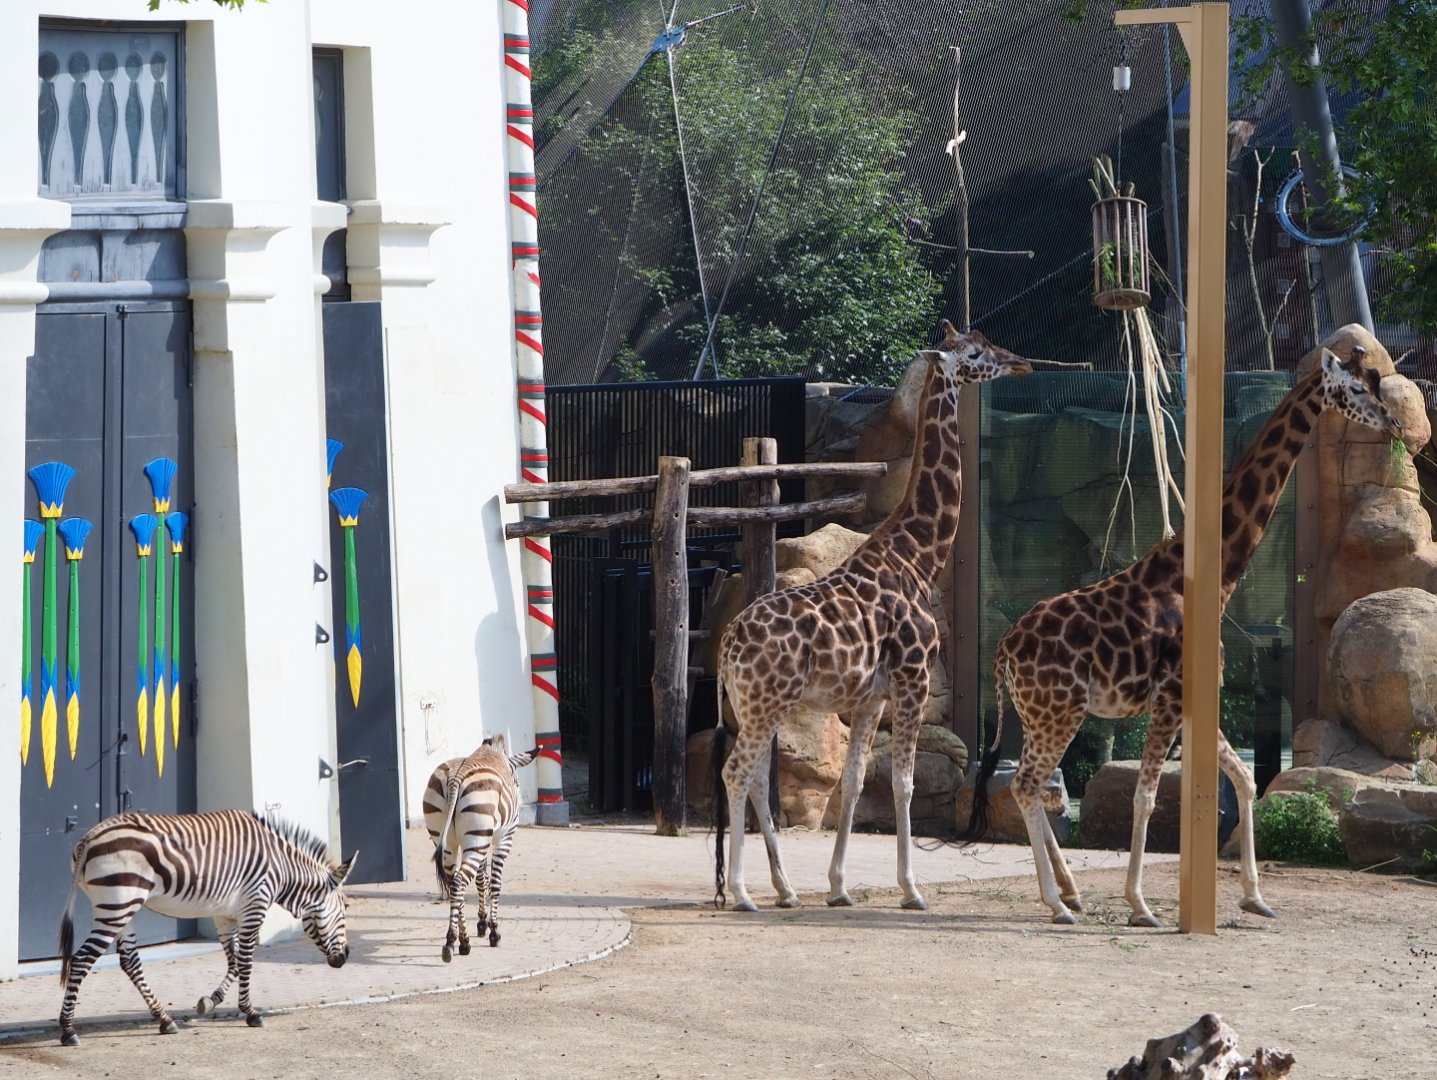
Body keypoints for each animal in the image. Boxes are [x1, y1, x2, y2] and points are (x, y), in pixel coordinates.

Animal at [57, 808, 357, 1046]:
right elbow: (246, 961)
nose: (345, 957)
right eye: (345, 907)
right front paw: (251, 1013)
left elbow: (234, 962)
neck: (281, 867)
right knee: (81, 960)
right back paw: (68, 1030)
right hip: (118, 905)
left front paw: (210, 1001)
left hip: (125, 908)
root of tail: (89, 838)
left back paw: (165, 1019)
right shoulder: (255, 905)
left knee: (130, 960)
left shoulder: (224, 915)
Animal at [423, 734, 538, 960]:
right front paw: (493, 931)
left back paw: (460, 941)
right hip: (477, 838)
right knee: (459, 882)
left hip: (450, 841)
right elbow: (495, 883)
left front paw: (482, 923)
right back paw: (455, 942)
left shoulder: (484, 838)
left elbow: (481, 880)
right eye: (517, 782)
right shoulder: (504, 837)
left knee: (454, 883)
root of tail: (454, 779)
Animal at [712, 321, 1032, 912]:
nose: (1019, 362)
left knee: (756, 777)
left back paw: (786, 889)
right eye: (977, 352)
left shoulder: (870, 699)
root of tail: (727, 645)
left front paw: (839, 887)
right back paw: (744, 893)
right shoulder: (913, 681)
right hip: (767, 703)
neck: (918, 557)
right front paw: (912, 890)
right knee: (737, 771)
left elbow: (857, 782)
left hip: (752, 705)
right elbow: (904, 783)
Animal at [969, 344, 1408, 926]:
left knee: (1035, 785)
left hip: (1041, 714)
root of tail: (1003, 653)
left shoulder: (1199, 699)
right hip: (1058, 711)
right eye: (1357, 389)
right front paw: (1140, 905)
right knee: (1026, 784)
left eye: (1374, 384)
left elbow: (1245, 779)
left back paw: (1070, 892)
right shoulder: (1172, 698)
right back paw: (1058, 902)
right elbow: (1146, 798)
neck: (1210, 578)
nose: (1394, 424)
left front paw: (1255, 896)